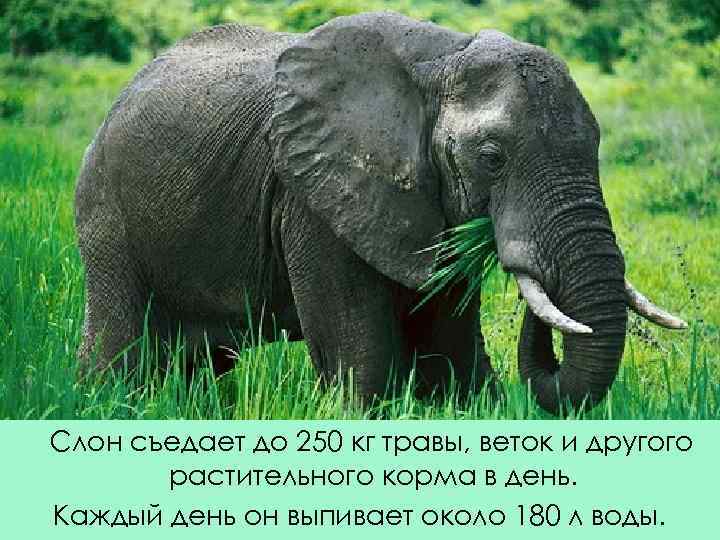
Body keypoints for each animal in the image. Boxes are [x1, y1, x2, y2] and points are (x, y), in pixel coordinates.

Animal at [75, 12, 686, 413]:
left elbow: (448, 338)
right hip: (106, 214)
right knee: (119, 345)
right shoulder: (314, 195)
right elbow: (357, 350)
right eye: (491, 158)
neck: (442, 61)